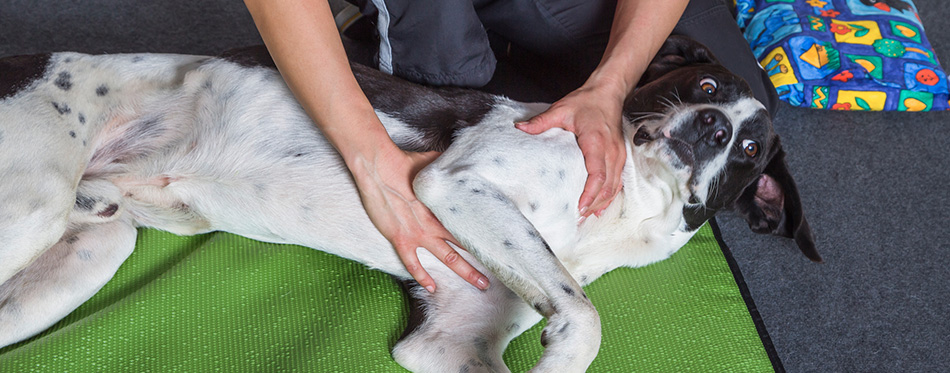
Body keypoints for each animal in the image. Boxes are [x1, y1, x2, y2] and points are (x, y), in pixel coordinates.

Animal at [0, 35, 820, 372]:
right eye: (706, 85)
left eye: (752, 152)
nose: (717, 128)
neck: (619, 212)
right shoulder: (454, 184)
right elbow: (583, 312)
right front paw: (567, 353)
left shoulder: (443, 340)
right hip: (30, 204)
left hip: (90, 248)